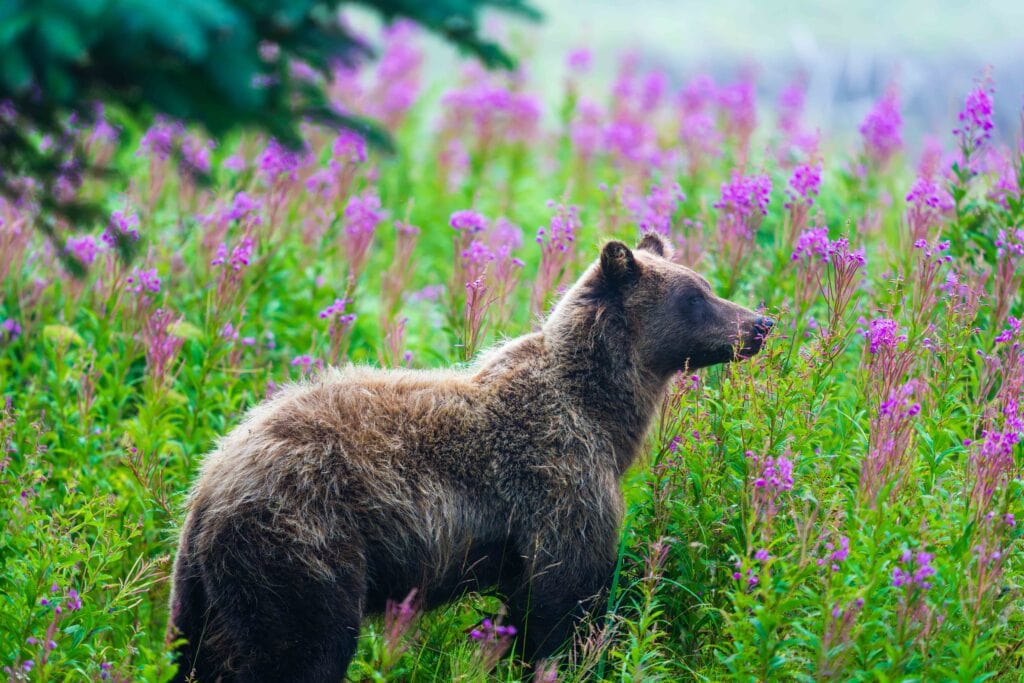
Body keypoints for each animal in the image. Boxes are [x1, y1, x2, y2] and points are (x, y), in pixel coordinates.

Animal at [167, 232, 773, 682]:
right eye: (695, 296)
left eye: (706, 285)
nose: (761, 322)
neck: (603, 415)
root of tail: (209, 483)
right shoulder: (559, 482)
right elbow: (566, 602)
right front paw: (570, 659)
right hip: (305, 544)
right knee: (301, 652)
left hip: (203, 588)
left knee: (199, 652)